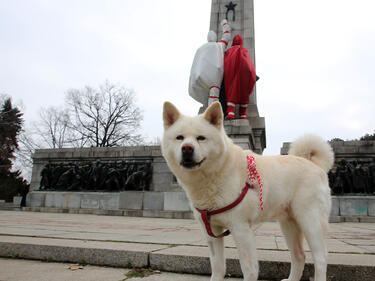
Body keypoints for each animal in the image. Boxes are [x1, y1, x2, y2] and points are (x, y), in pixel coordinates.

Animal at [162, 101, 334, 280]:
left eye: (201, 138)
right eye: (179, 137)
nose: (187, 148)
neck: (212, 176)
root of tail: (315, 165)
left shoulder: (241, 229)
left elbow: (248, 269)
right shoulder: (211, 231)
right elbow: (217, 267)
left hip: (310, 221)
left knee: (321, 257)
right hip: (289, 223)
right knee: (299, 255)